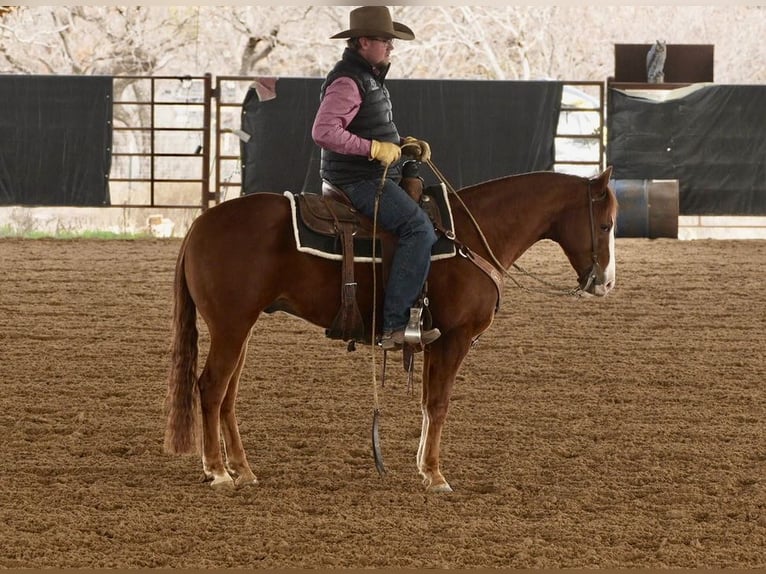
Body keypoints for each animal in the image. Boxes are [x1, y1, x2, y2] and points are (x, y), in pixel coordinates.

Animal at [164, 168, 616, 496]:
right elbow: (439, 403)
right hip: (230, 326)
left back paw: (243, 469)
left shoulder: (433, 341)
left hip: (241, 327)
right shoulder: (455, 338)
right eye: (607, 224)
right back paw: (218, 472)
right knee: (211, 387)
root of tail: (199, 224)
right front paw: (436, 476)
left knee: (227, 395)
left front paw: (423, 468)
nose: (606, 283)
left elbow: (428, 403)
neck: (471, 235)